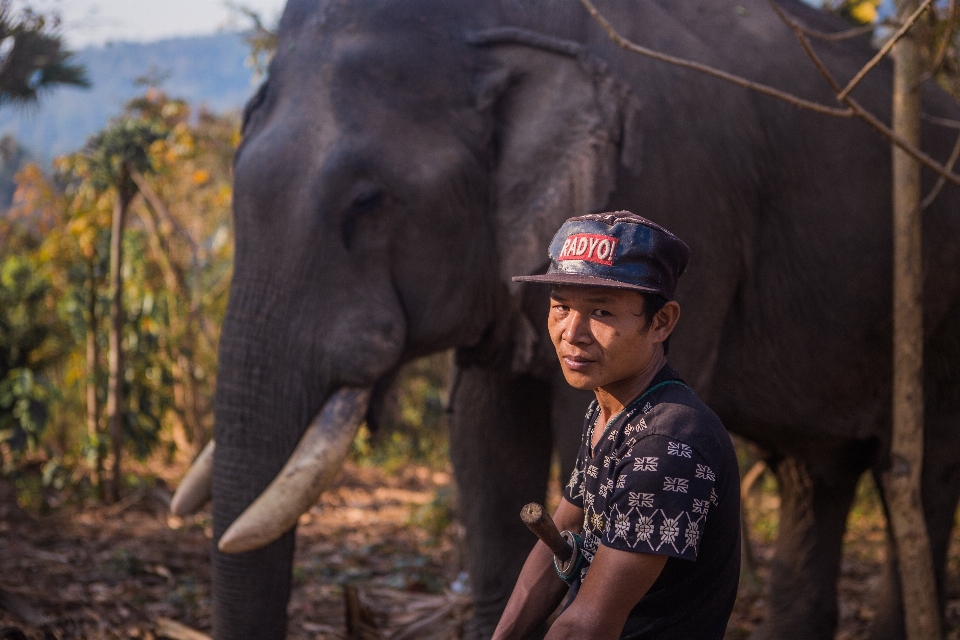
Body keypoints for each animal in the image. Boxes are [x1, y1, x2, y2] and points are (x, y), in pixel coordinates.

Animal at [171, 0, 960, 636]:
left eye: (367, 204)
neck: (501, 28)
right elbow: (486, 440)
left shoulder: (677, 187)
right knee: (814, 476)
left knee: (919, 478)